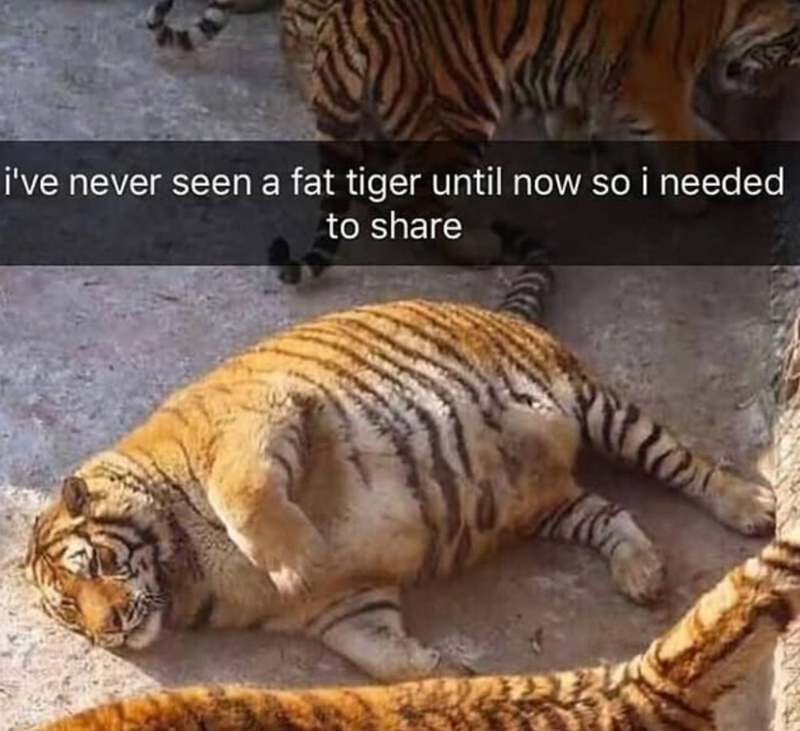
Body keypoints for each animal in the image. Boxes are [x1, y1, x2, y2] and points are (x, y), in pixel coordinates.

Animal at [26, 260, 774, 683]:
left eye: (96, 564)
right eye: (69, 607)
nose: (110, 628)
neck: (184, 574)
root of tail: (494, 309)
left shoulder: (259, 420)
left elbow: (245, 495)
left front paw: (297, 557)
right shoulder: (341, 607)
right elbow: (377, 655)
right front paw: (440, 670)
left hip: (596, 406)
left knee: (684, 463)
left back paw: (752, 505)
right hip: (547, 505)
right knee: (610, 512)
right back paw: (642, 573)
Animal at [267, 0, 800, 285]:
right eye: (791, 49)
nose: (772, 91)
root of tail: (345, 22)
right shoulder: (655, 81)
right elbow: (679, 140)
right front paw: (693, 201)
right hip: (461, 108)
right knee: (418, 197)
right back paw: (477, 247)